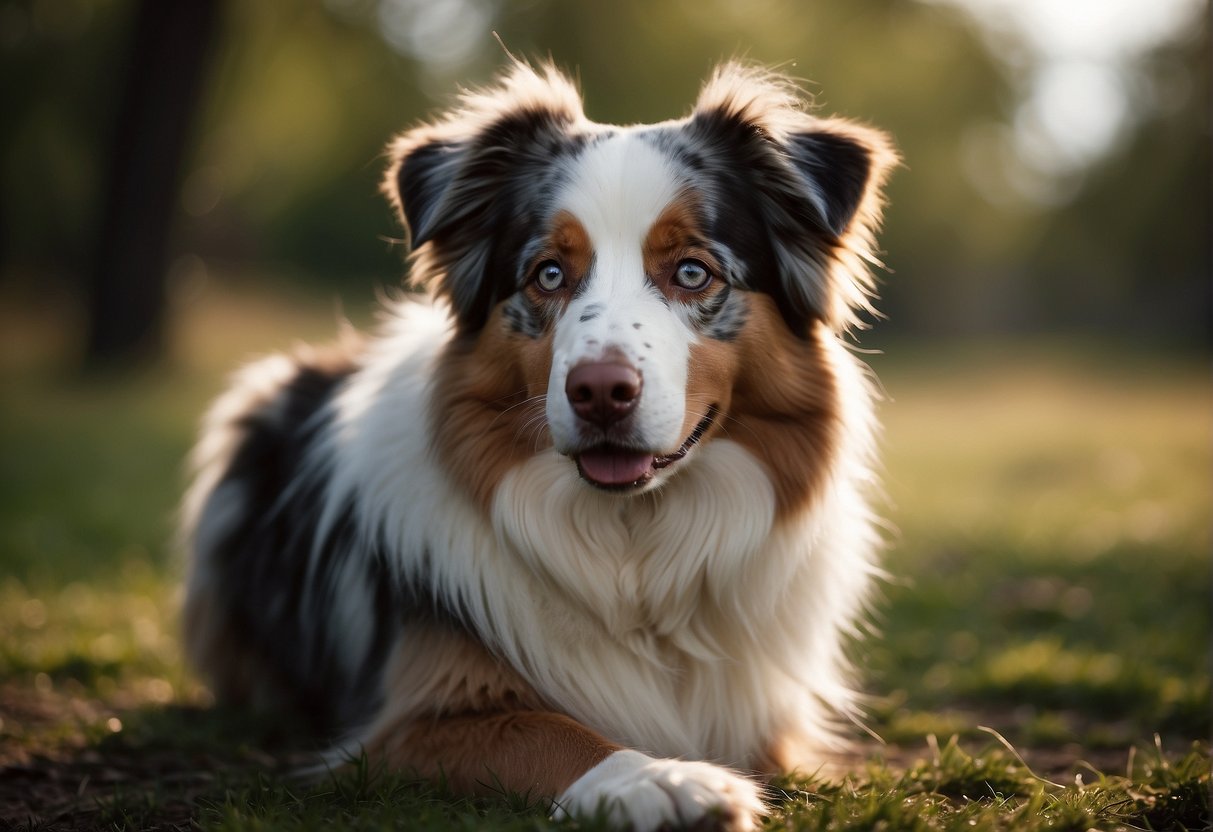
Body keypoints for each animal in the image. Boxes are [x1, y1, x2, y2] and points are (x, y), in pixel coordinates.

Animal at [181, 61, 902, 829]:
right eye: (548, 274)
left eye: (692, 272)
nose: (600, 391)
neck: (633, 551)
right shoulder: (413, 720)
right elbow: (554, 732)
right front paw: (659, 779)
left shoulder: (766, 721)